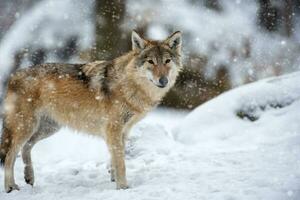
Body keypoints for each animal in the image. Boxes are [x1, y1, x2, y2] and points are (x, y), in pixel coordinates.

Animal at [0, 30, 183, 192]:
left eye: (167, 61)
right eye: (151, 62)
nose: (163, 81)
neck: (128, 84)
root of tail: (13, 76)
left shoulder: (123, 131)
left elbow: (115, 158)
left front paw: (113, 177)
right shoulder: (113, 129)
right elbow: (121, 162)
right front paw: (122, 187)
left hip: (48, 128)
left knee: (26, 148)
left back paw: (29, 177)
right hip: (26, 127)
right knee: (10, 156)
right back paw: (10, 187)